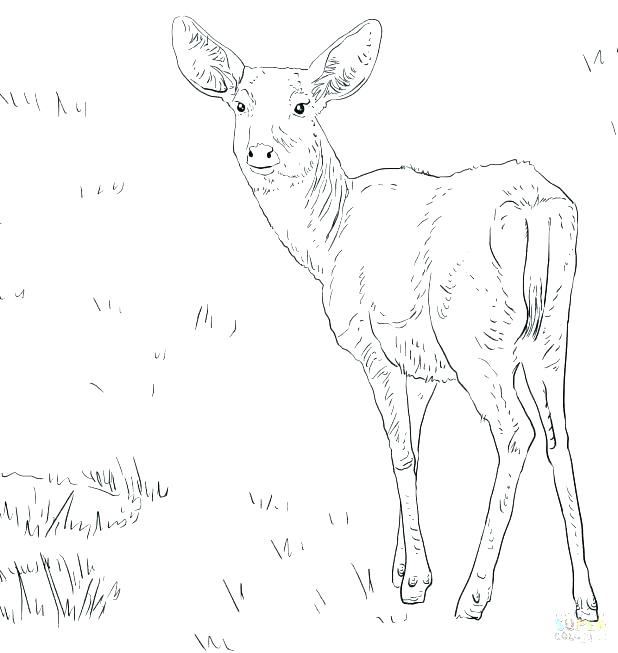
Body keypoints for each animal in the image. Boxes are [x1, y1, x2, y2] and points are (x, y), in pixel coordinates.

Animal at [171, 16, 598, 621]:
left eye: (302, 105)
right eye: (239, 102)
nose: (260, 152)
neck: (327, 239)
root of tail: (536, 208)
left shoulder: (371, 344)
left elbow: (399, 453)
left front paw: (415, 581)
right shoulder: (421, 366)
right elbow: (414, 449)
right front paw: (401, 566)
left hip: (476, 338)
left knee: (516, 432)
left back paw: (473, 595)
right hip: (551, 334)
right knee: (560, 439)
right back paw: (585, 598)